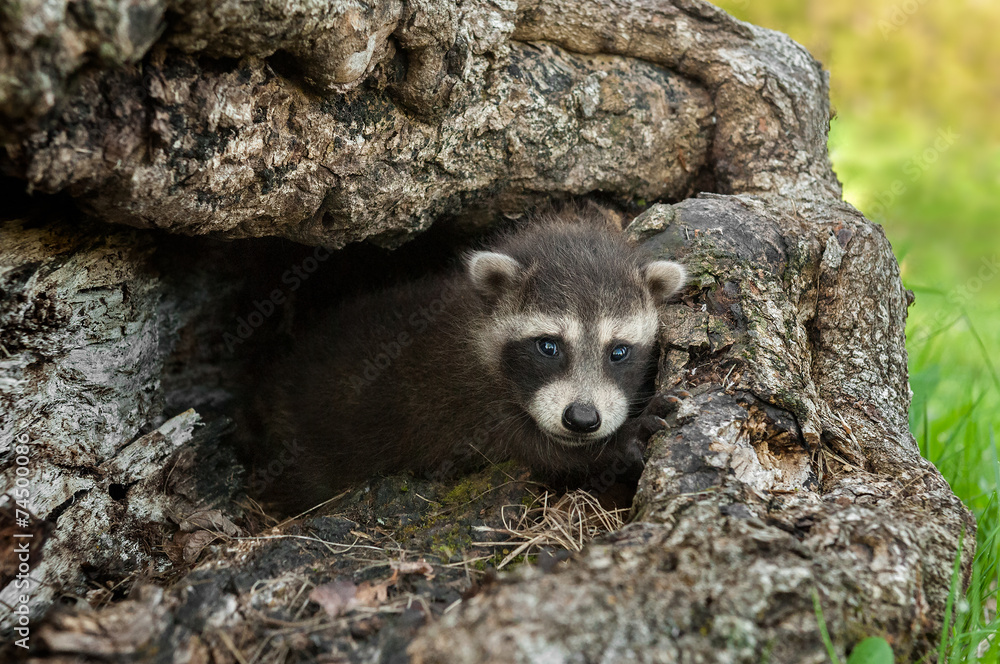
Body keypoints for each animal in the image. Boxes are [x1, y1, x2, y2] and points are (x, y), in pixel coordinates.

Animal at [252, 206, 685, 510]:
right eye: (548, 346)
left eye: (619, 351)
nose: (581, 419)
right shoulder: (469, 404)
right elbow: (548, 454)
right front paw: (619, 442)